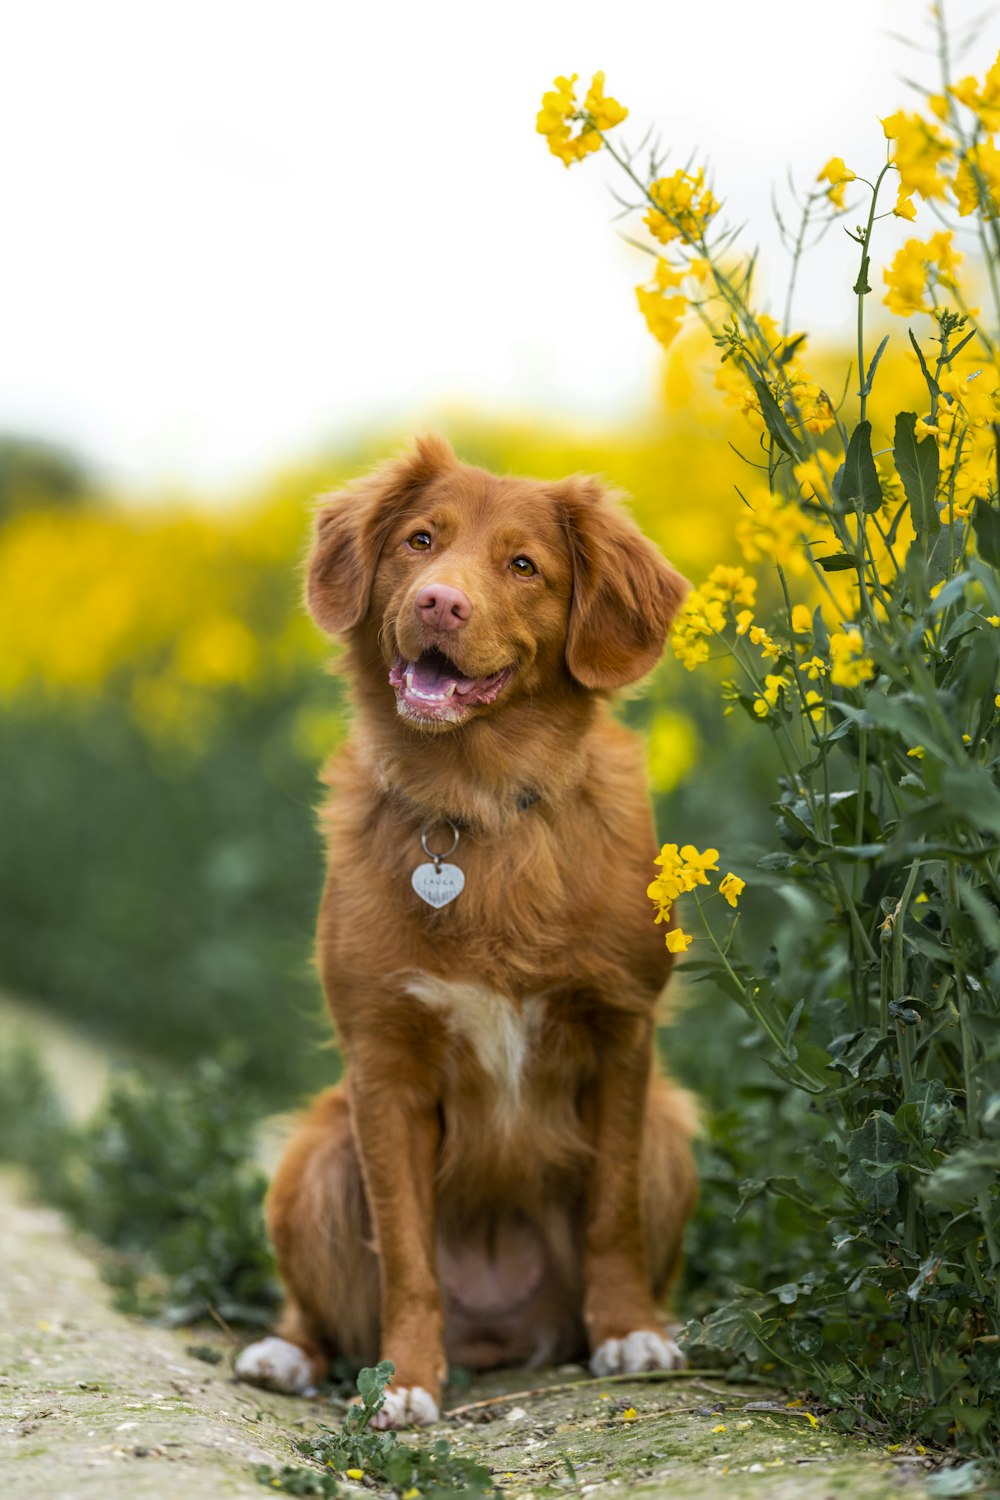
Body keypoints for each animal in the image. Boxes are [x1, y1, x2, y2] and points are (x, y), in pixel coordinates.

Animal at [238, 438, 701, 1428]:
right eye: (421, 541)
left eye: (524, 566)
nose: (438, 602)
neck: (475, 804)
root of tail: (497, 1338)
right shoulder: (383, 1068)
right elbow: (407, 1256)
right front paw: (406, 1381)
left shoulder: (622, 1035)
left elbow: (612, 1214)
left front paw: (629, 1333)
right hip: (314, 1153)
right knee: (321, 1310)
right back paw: (288, 1355)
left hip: (672, 1129)